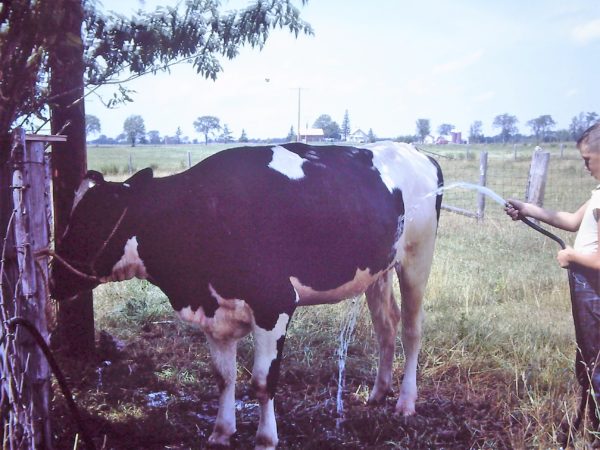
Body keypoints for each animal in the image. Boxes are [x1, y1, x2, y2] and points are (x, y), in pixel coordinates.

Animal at [50, 142, 440, 450]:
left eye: (95, 219)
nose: (54, 279)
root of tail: (418, 153)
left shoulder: (275, 305)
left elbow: (263, 381)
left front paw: (266, 439)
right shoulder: (215, 313)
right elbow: (224, 377)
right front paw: (221, 433)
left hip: (417, 259)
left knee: (411, 330)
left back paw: (405, 402)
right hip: (379, 270)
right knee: (386, 326)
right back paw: (378, 393)